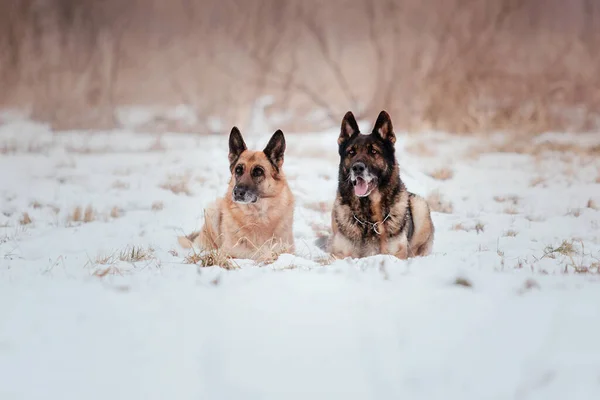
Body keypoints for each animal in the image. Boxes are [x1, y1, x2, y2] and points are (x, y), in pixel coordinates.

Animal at [179, 126, 296, 260]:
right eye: (238, 170)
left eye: (258, 172)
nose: (237, 192)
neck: (257, 215)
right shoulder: (228, 253)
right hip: (212, 209)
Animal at [330, 110, 434, 260]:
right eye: (351, 152)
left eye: (373, 151)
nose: (357, 168)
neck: (368, 221)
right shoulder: (338, 255)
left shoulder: (397, 254)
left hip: (420, 206)